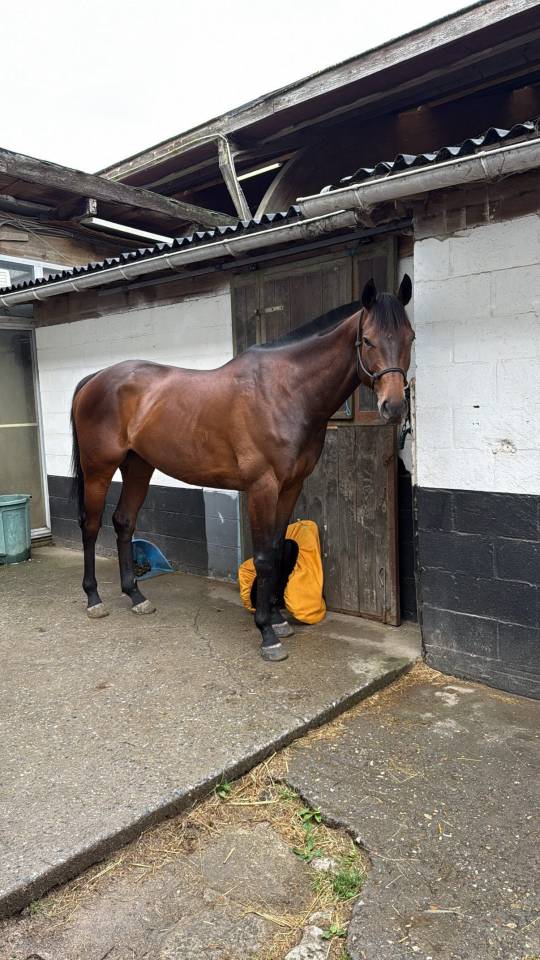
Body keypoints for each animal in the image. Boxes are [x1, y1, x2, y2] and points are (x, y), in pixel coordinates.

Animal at [70, 275, 414, 661]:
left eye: (410, 338)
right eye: (368, 340)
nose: (394, 407)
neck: (285, 391)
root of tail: (96, 378)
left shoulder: (291, 486)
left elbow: (277, 549)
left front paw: (277, 619)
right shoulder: (262, 487)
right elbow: (262, 556)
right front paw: (267, 633)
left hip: (139, 468)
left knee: (124, 522)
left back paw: (135, 595)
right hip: (99, 469)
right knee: (91, 525)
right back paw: (94, 598)